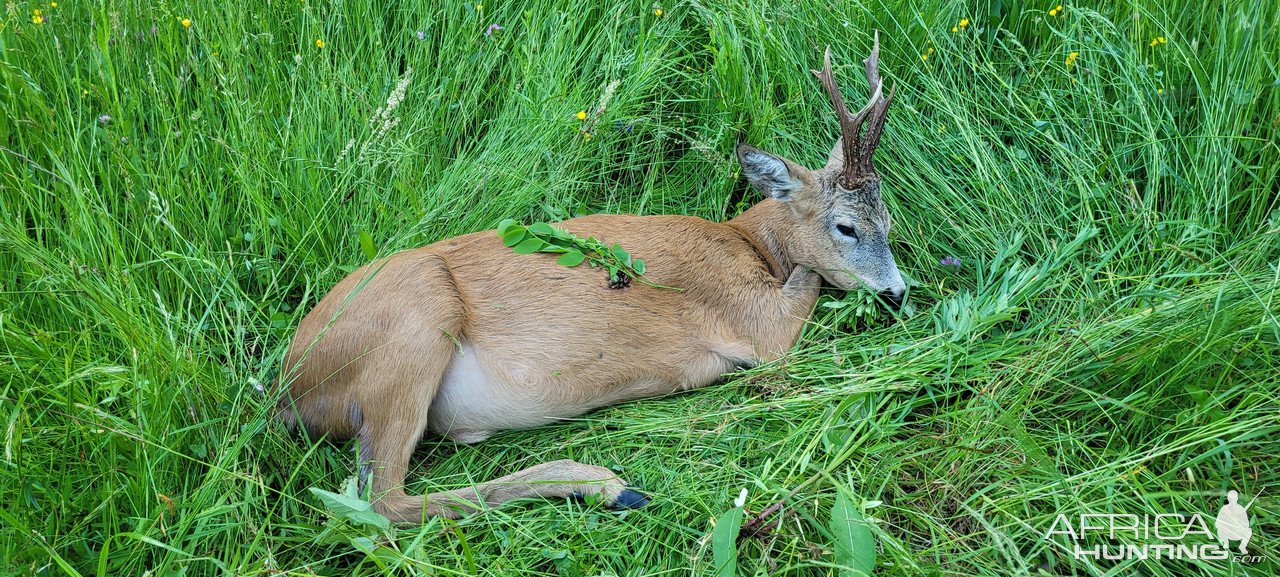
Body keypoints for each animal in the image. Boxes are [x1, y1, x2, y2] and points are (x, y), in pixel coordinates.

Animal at [277, 36, 911, 524]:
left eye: (889, 218)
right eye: (847, 226)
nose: (898, 293)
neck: (749, 245)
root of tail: (289, 386)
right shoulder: (759, 324)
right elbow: (807, 284)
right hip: (413, 329)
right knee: (381, 501)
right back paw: (605, 484)